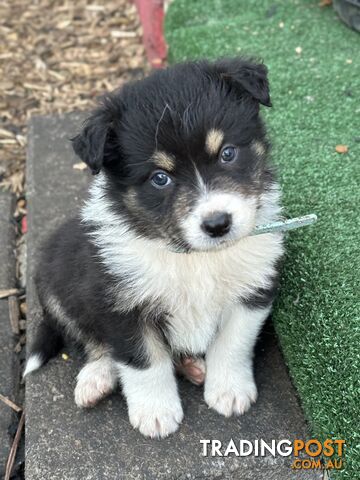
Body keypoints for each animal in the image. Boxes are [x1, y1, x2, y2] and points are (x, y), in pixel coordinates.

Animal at [24, 57, 284, 438]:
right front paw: (156, 413)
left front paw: (229, 391)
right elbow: (143, 360)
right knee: (90, 340)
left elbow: (233, 343)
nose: (218, 224)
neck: (192, 256)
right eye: (160, 178)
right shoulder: (120, 304)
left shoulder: (253, 288)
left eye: (228, 153)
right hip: (56, 276)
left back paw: (193, 367)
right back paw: (97, 378)